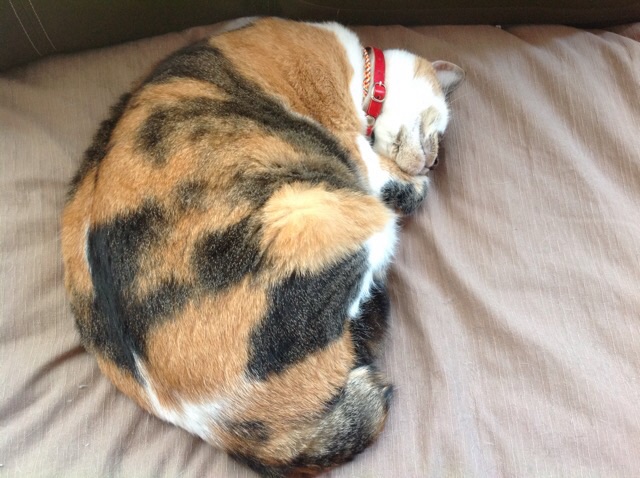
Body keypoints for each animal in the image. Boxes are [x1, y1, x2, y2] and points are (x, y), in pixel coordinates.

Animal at [61, 17, 463, 477]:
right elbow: (394, 180)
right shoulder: (358, 150)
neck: (362, 76)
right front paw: (416, 186)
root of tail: (214, 425)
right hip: (321, 212)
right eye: (439, 129)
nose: (434, 163)